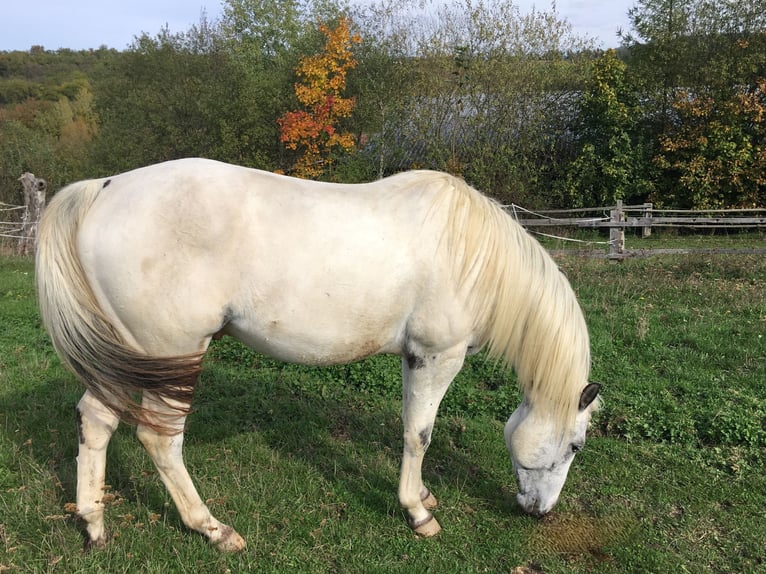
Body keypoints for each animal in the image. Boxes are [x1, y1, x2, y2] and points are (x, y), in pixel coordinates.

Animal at [34, 158, 600, 552]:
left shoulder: (412, 357)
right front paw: (418, 513)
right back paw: (213, 529)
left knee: (96, 421)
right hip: (172, 357)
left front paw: (422, 497)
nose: (541, 512)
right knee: (158, 439)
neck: (469, 254)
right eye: (575, 445)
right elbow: (419, 434)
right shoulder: (438, 356)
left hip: (131, 359)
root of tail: (105, 188)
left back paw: (93, 525)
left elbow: (409, 428)